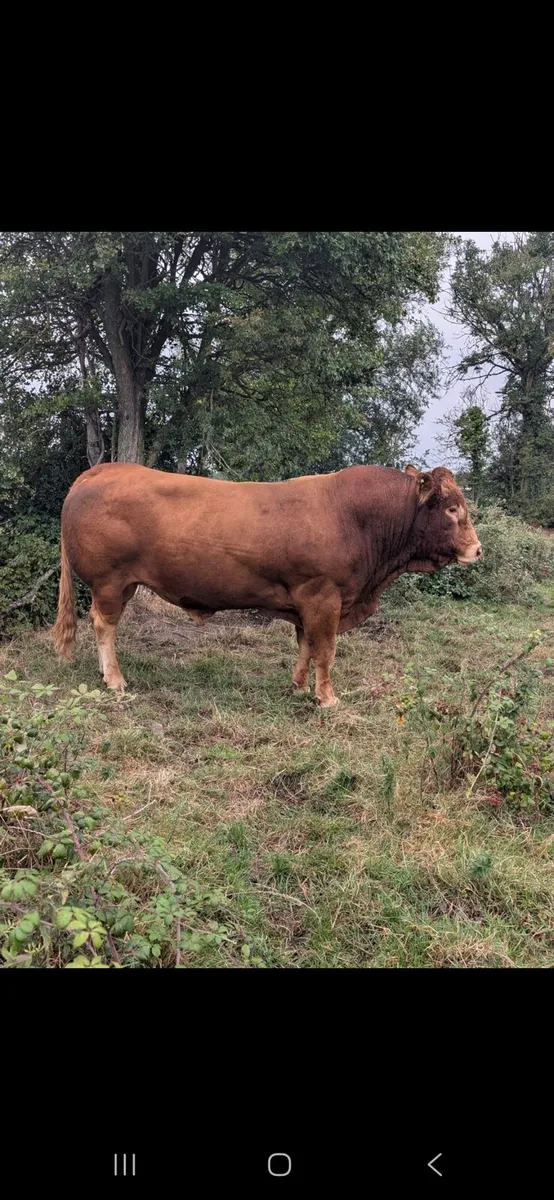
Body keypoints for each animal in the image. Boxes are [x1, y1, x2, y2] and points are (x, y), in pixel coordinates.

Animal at [52, 462, 482, 707]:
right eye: (452, 509)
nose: (477, 549)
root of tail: (104, 469)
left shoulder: (307, 602)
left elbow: (306, 646)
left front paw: (298, 686)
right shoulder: (325, 596)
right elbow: (326, 650)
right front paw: (327, 698)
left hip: (120, 584)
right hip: (109, 580)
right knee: (104, 625)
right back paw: (115, 679)